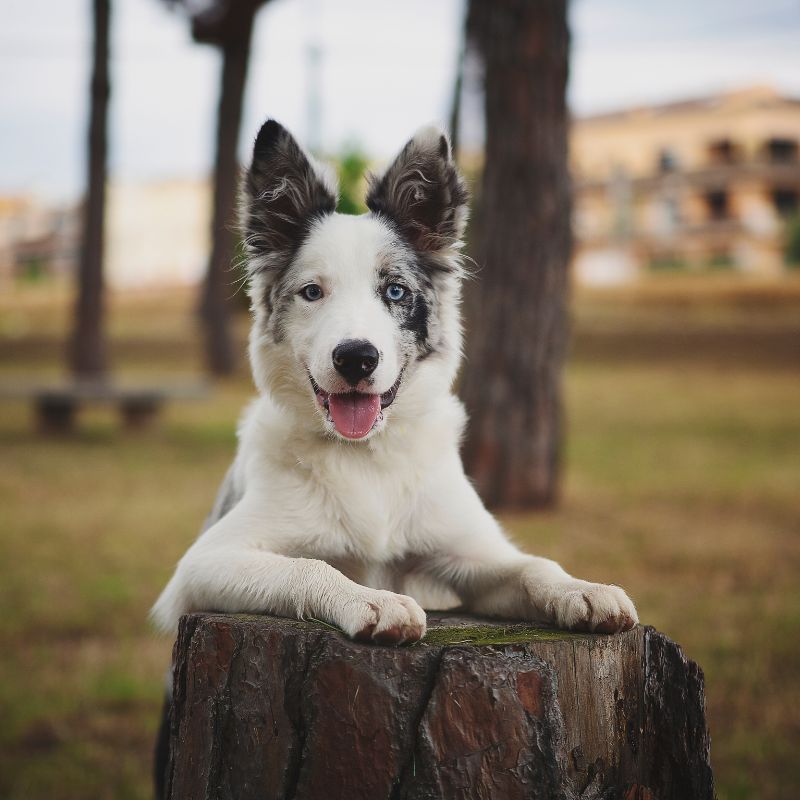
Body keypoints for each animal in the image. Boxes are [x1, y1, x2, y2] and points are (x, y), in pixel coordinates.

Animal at [152, 120, 636, 648]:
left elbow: (534, 565)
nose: (356, 358)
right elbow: (309, 566)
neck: (366, 457)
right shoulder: (202, 564)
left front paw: (584, 590)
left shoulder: (473, 554)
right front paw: (373, 600)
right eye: (312, 292)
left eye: (396, 291)